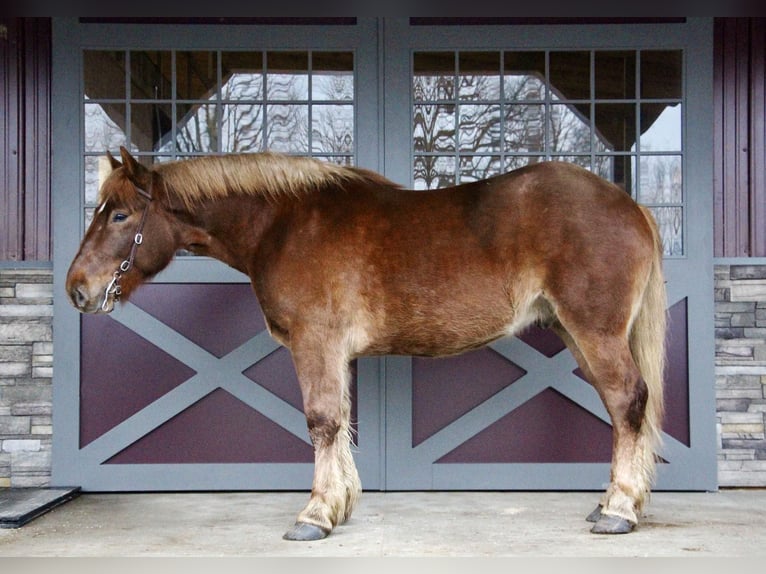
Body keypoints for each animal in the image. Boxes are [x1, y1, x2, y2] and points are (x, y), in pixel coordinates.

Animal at [66, 146, 664, 544]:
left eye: (119, 214)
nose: (78, 289)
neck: (283, 225)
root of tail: (631, 207)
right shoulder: (332, 353)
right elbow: (339, 422)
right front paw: (340, 504)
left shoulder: (315, 343)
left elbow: (322, 421)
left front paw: (314, 515)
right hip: (573, 331)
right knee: (621, 408)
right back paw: (609, 503)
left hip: (594, 330)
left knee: (628, 401)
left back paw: (620, 510)